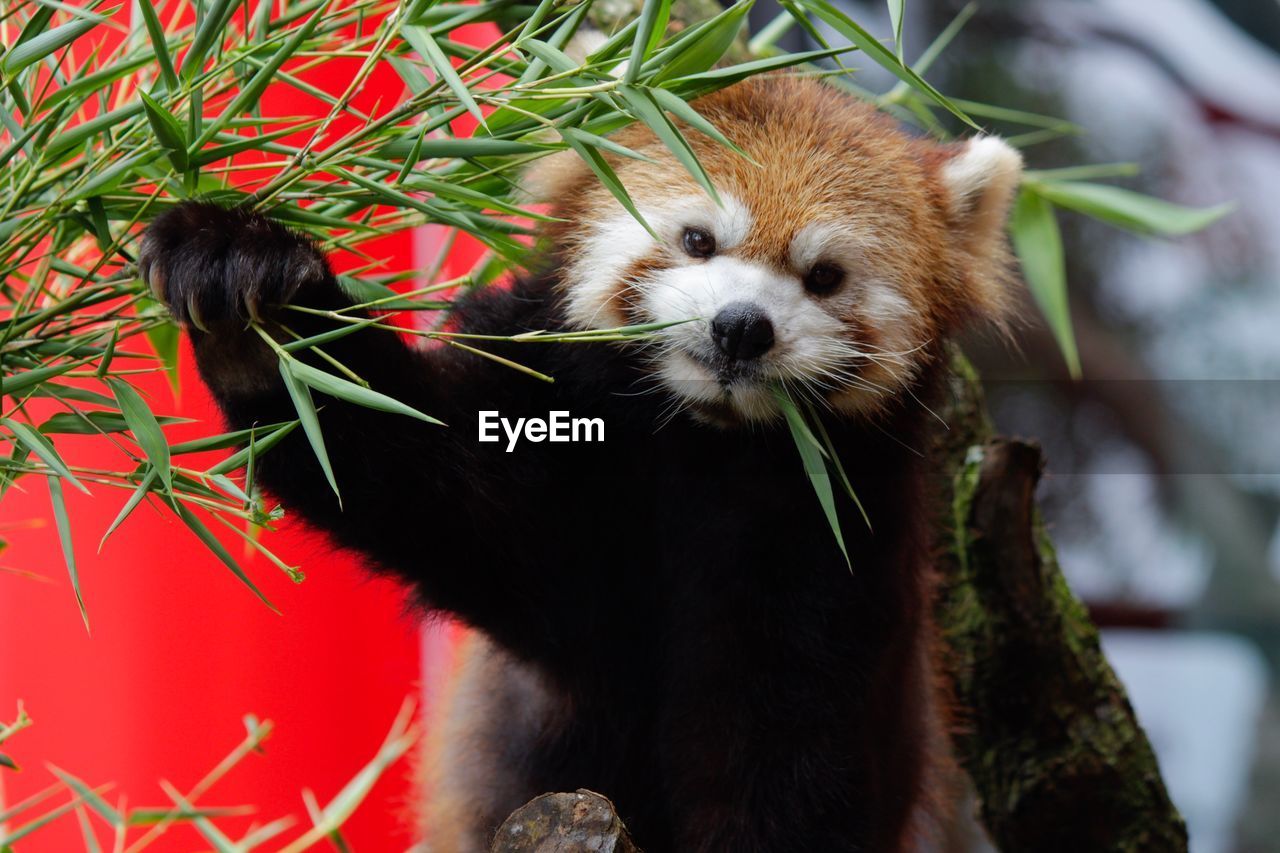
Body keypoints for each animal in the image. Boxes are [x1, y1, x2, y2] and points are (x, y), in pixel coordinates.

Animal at [140, 76, 1018, 845]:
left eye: (824, 276)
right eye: (697, 240)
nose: (741, 327)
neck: (702, 441)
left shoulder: (834, 551)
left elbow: (789, 755)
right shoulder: (551, 453)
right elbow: (427, 477)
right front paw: (255, 303)